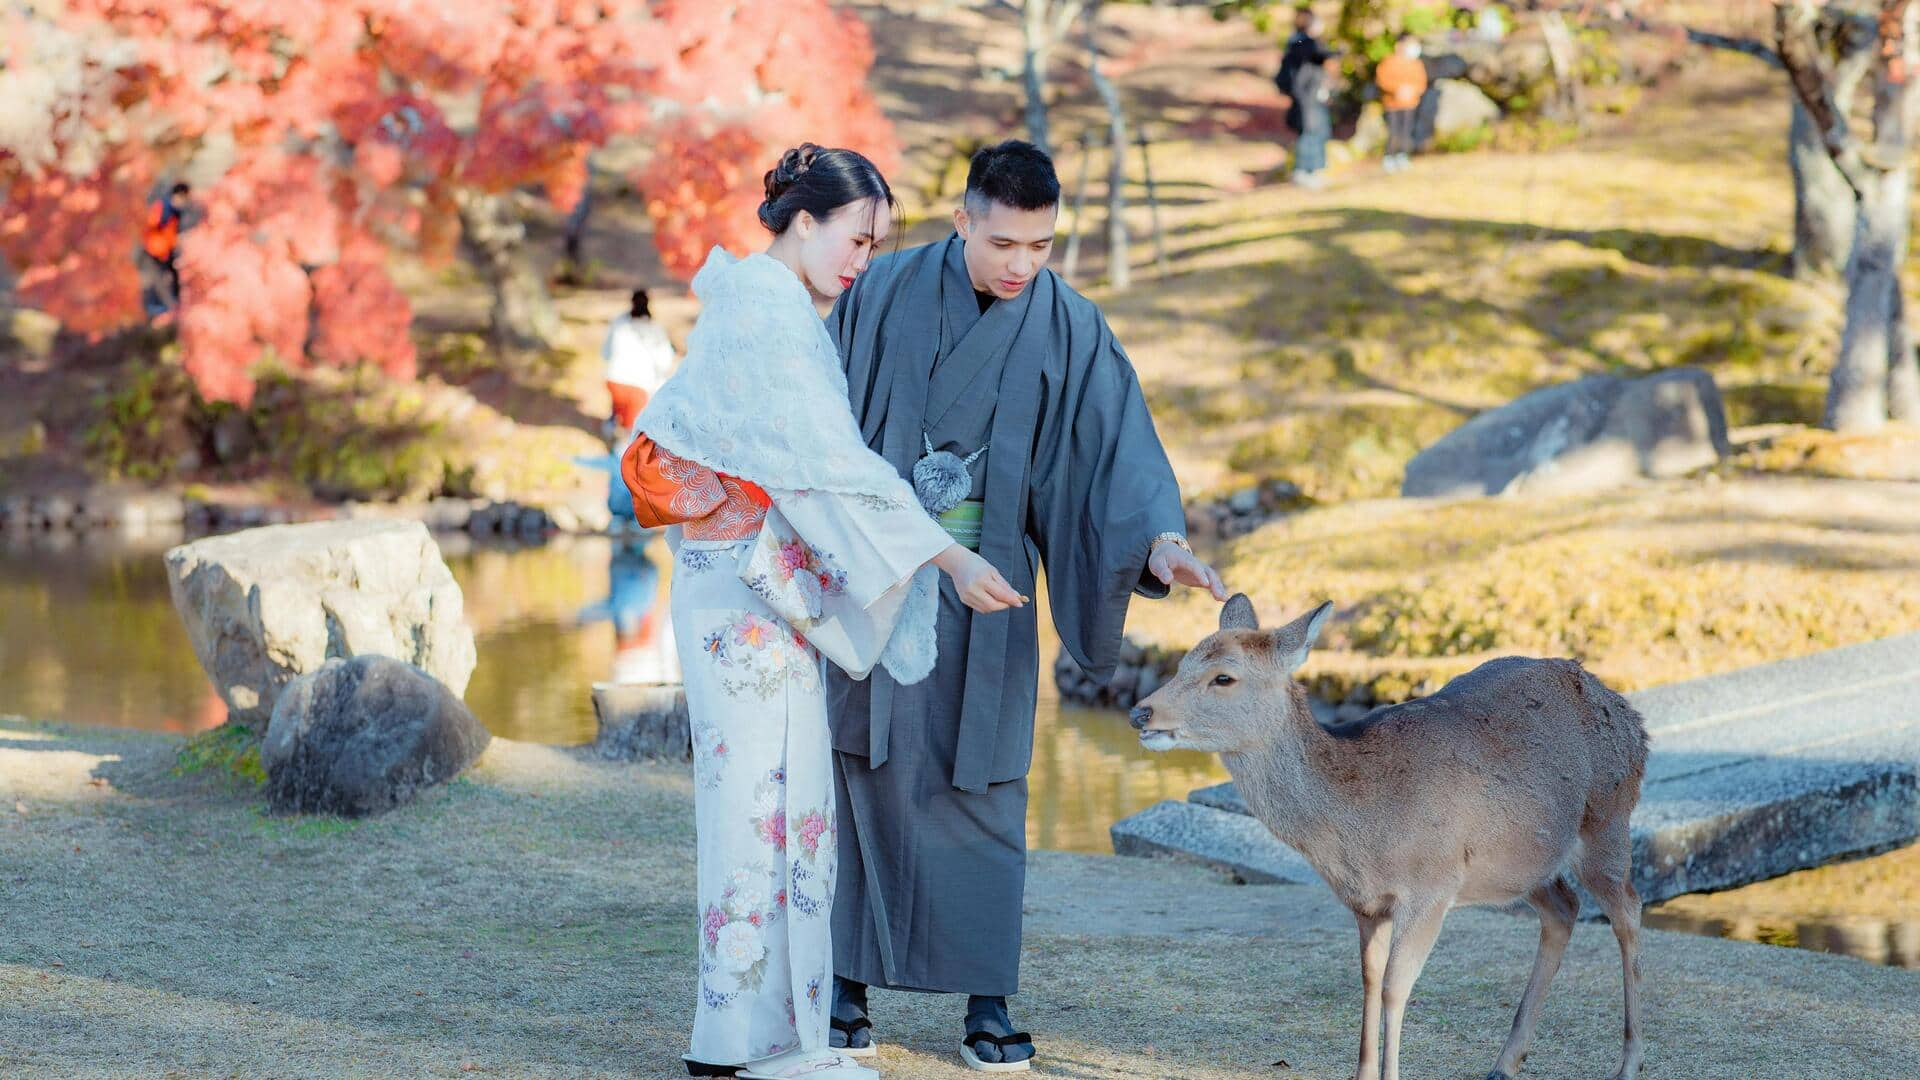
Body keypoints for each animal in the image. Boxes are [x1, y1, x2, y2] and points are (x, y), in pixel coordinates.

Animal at [1121, 591, 1651, 1076]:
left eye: (1224, 676)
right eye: (1183, 663)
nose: (1140, 713)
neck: (1360, 834)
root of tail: (1632, 719)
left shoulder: (1433, 885)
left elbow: (1397, 987)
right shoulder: (1366, 902)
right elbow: (1369, 980)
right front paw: (1362, 1072)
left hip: (1607, 821)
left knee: (1628, 909)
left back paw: (1629, 1063)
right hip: (1523, 863)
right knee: (1565, 908)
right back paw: (1505, 1062)